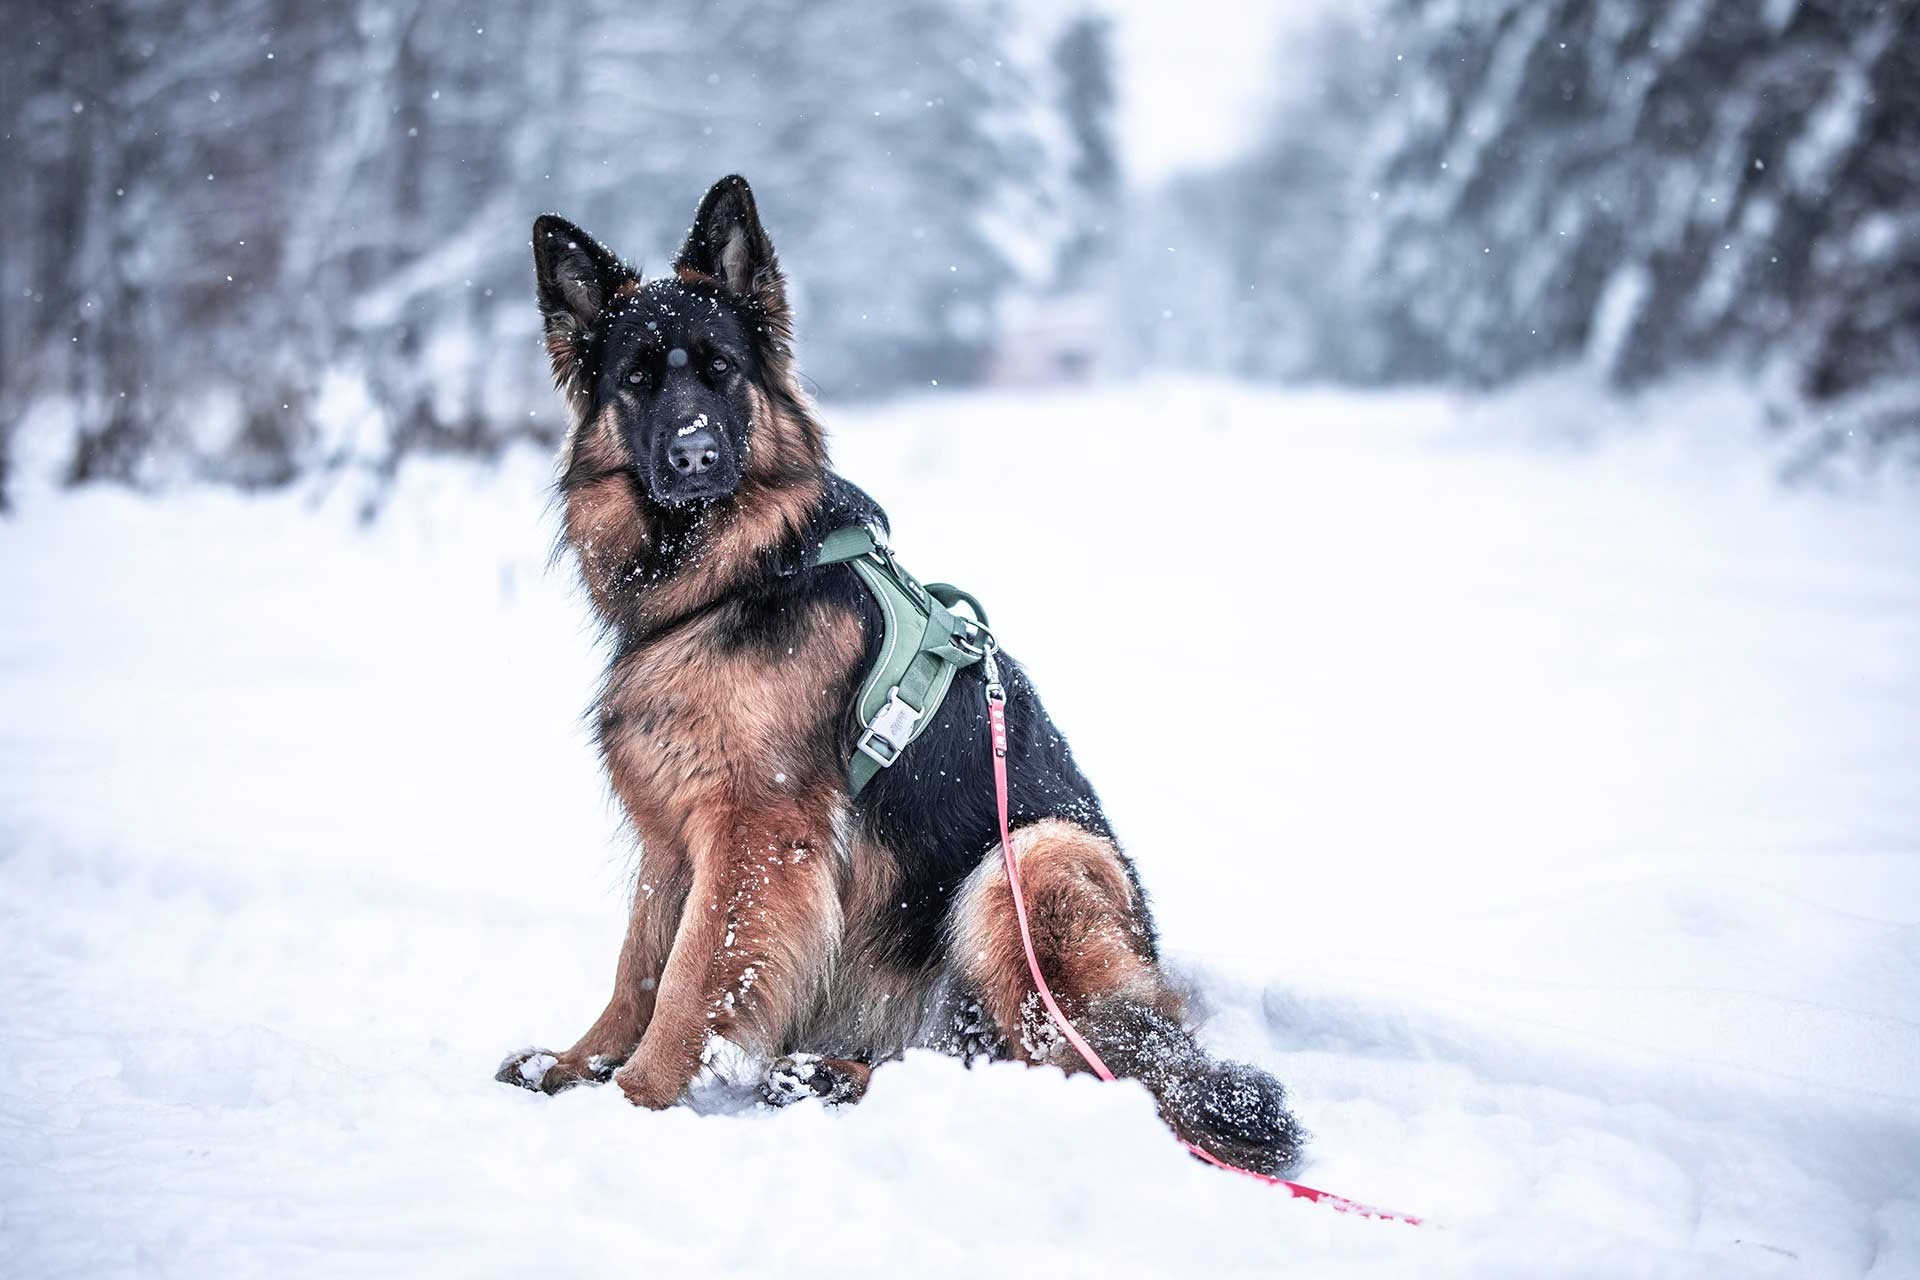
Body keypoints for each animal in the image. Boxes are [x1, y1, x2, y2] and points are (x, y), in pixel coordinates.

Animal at [495, 175, 1305, 1174]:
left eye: (720, 370)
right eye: (637, 382)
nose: (692, 456)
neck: (738, 573)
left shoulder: (755, 828)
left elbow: (689, 974)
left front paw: (637, 1096)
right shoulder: (670, 827)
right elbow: (638, 962)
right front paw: (579, 1066)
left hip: (1032, 857)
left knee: (1042, 1062)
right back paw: (827, 1071)